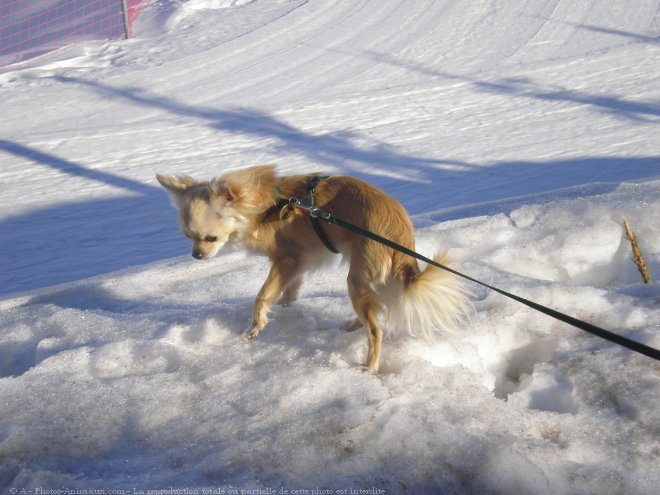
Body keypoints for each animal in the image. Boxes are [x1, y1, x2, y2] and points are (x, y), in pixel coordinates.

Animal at [157, 165, 470, 374]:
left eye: (210, 238)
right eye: (188, 237)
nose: (197, 256)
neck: (263, 207)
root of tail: (400, 234)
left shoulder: (286, 258)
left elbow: (262, 295)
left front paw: (255, 327)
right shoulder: (298, 262)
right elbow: (290, 288)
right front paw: (286, 305)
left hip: (356, 279)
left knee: (376, 330)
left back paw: (369, 367)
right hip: (369, 280)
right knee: (373, 311)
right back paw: (352, 325)